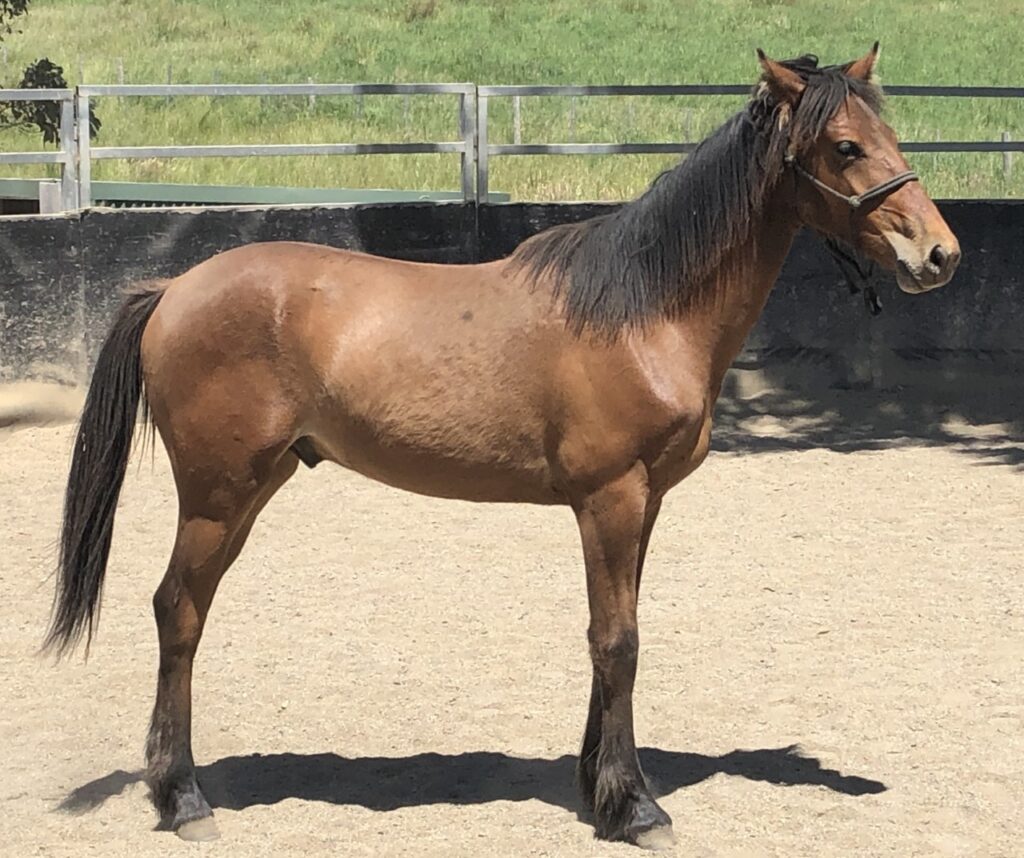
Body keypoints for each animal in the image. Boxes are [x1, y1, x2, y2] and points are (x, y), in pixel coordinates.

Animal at [46, 48, 958, 851]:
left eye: (891, 133)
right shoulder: (610, 497)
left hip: (250, 489)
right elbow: (618, 642)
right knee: (178, 611)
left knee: (185, 609)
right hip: (218, 494)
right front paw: (636, 808)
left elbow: (613, 632)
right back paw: (184, 797)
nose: (939, 253)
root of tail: (172, 289)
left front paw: (598, 786)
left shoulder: (642, 503)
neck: (643, 309)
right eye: (845, 147)